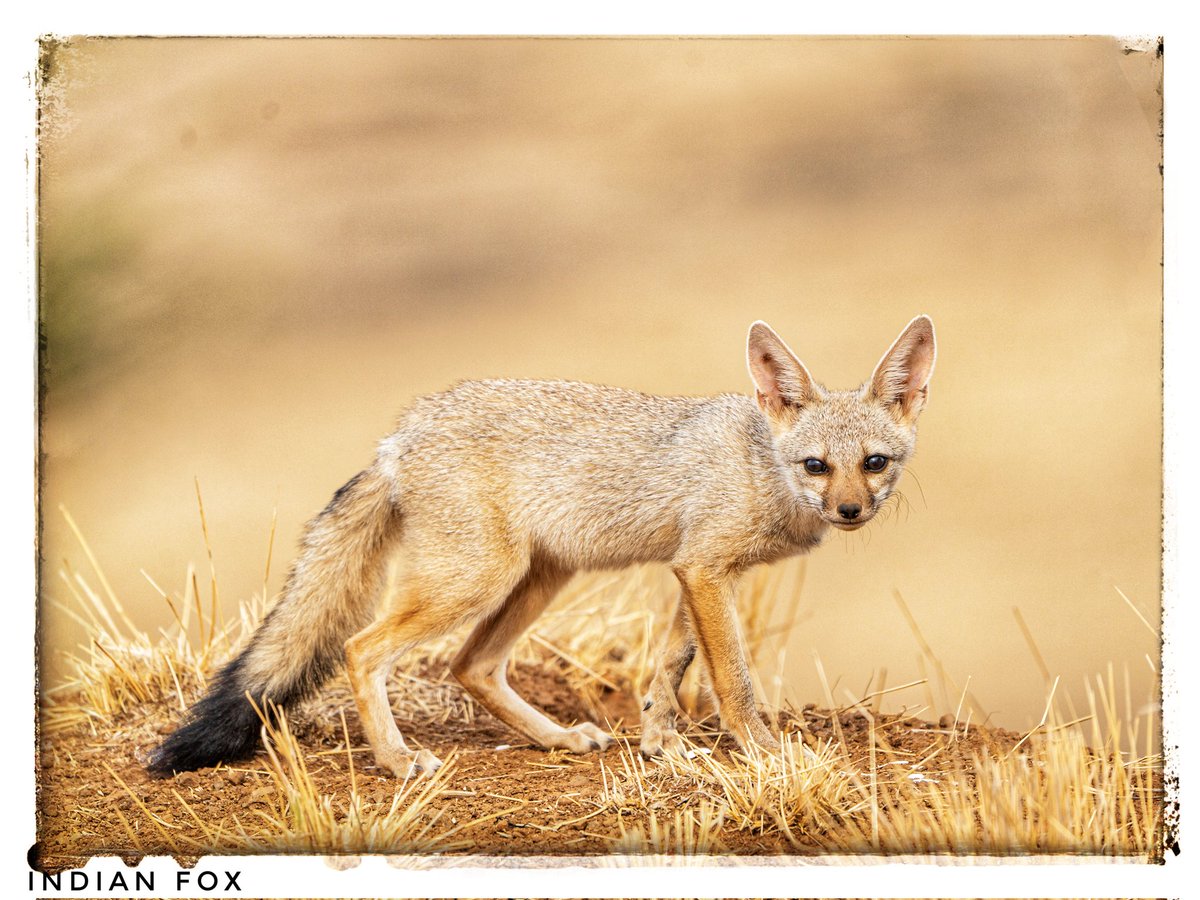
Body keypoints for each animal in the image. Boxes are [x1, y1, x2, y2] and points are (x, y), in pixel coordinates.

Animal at [149, 315, 936, 777]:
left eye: (873, 463)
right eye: (816, 465)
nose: (850, 511)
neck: (761, 465)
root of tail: (398, 435)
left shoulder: (698, 571)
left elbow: (668, 668)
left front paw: (659, 744)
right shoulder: (706, 570)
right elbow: (733, 681)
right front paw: (767, 755)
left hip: (537, 579)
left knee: (472, 665)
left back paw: (555, 739)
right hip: (476, 581)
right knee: (361, 649)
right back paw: (399, 761)